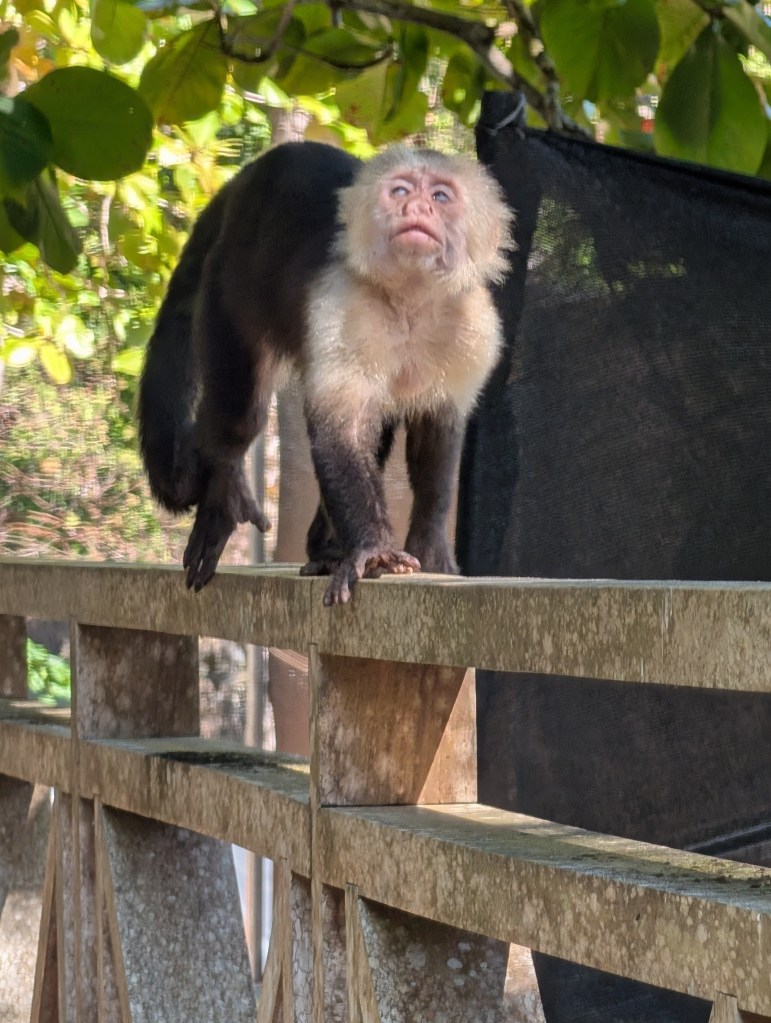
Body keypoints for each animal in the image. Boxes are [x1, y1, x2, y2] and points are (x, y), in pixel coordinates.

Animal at [138, 140, 513, 606]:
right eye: (400, 191)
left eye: (441, 196)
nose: (417, 207)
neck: (410, 300)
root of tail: (251, 174)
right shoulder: (347, 303)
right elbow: (342, 431)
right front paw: (373, 549)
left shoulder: (473, 326)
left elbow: (438, 436)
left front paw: (430, 549)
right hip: (226, 286)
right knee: (240, 414)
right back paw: (223, 493)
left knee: (379, 432)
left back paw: (324, 549)